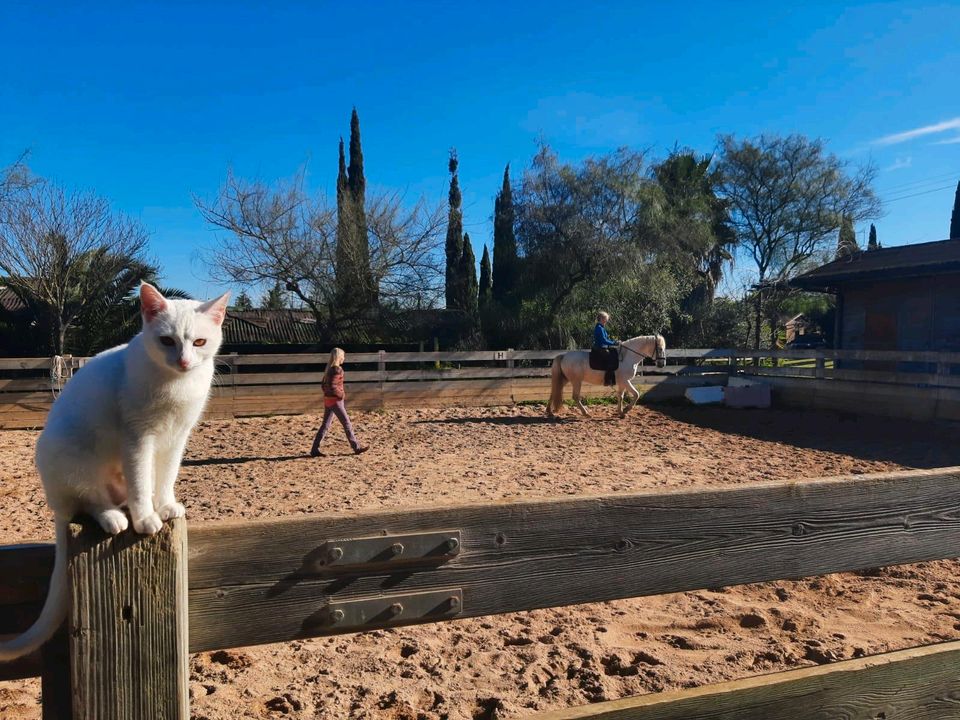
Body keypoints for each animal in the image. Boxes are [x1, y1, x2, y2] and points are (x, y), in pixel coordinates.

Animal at [0, 280, 229, 660]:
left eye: (198, 342)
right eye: (167, 341)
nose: (183, 361)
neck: (176, 386)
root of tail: (56, 504)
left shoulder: (177, 437)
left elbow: (165, 477)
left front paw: (165, 505)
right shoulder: (137, 438)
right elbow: (140, 481)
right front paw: (145, 517)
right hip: (75, 456)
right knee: (90, 501)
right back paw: (116, 517)